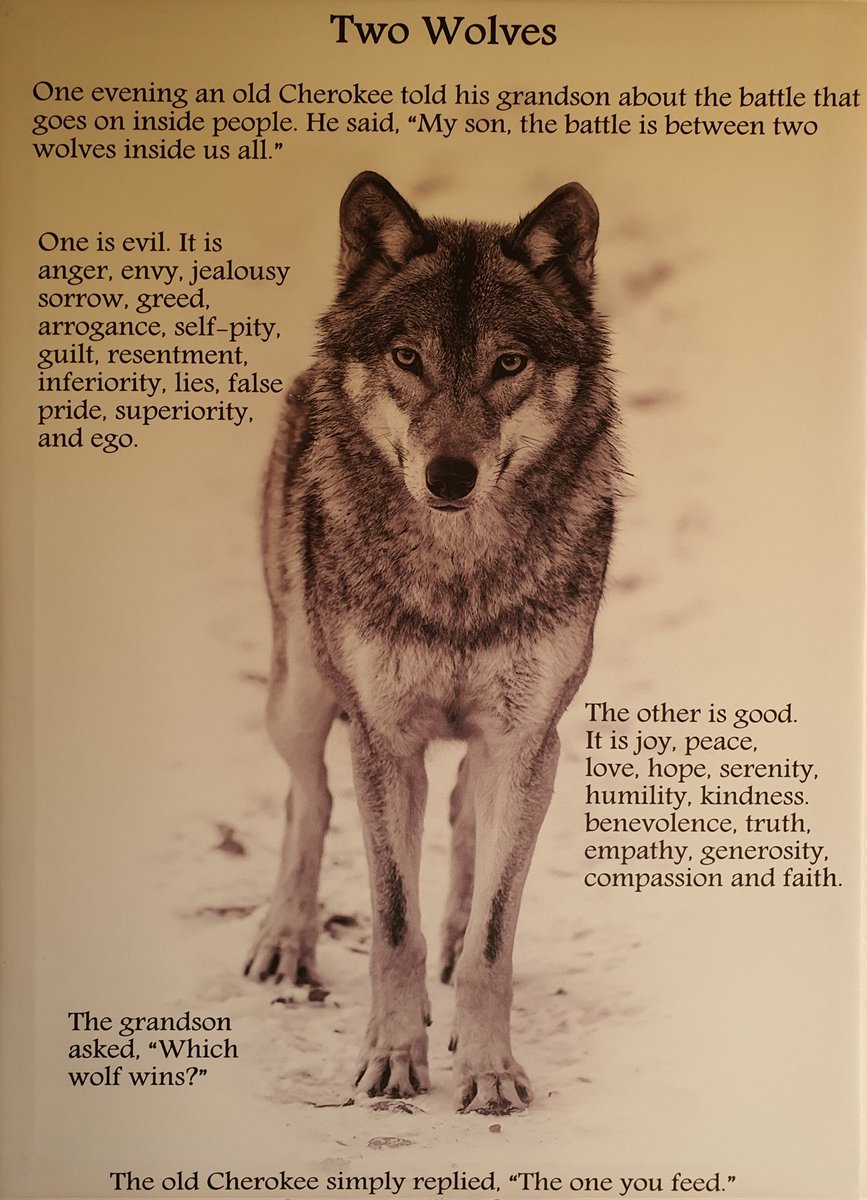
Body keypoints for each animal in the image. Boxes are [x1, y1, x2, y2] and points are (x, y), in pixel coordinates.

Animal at [245, 172, 619, 1114]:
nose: (450, 476)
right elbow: (391, 923)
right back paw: (285, 942)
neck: (458, 576)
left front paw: (487, 1069)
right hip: (299, 693)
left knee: (461, 821)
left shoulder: (526, 740)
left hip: (498, 748)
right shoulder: (385, 741)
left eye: (507, 363)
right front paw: (390, 1059)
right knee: (309, 799)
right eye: (408, 358)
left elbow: (493, 936)